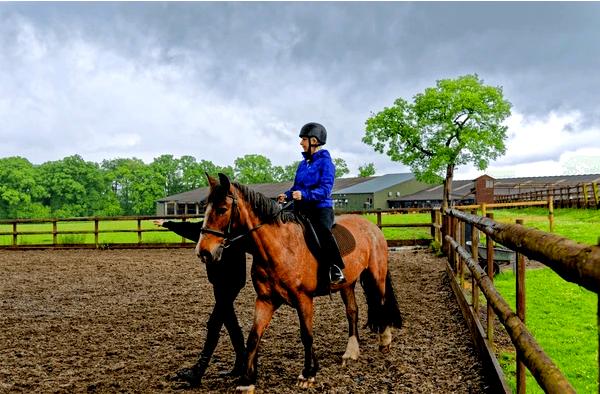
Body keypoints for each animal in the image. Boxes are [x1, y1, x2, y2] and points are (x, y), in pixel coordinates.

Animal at [198, 174, 404, 392]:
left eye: (222, 209)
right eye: (206, 208)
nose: (204, 252)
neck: (279, 247)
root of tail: (373, 227)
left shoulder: (303, 298)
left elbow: (306, 335)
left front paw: (307, 374)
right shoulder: (265, 300)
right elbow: (254, 336)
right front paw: (247, 381)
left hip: (376, 275)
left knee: (381, 303)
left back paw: (385, 341)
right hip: (347, 284)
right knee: (352, 312)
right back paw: (351, 352)